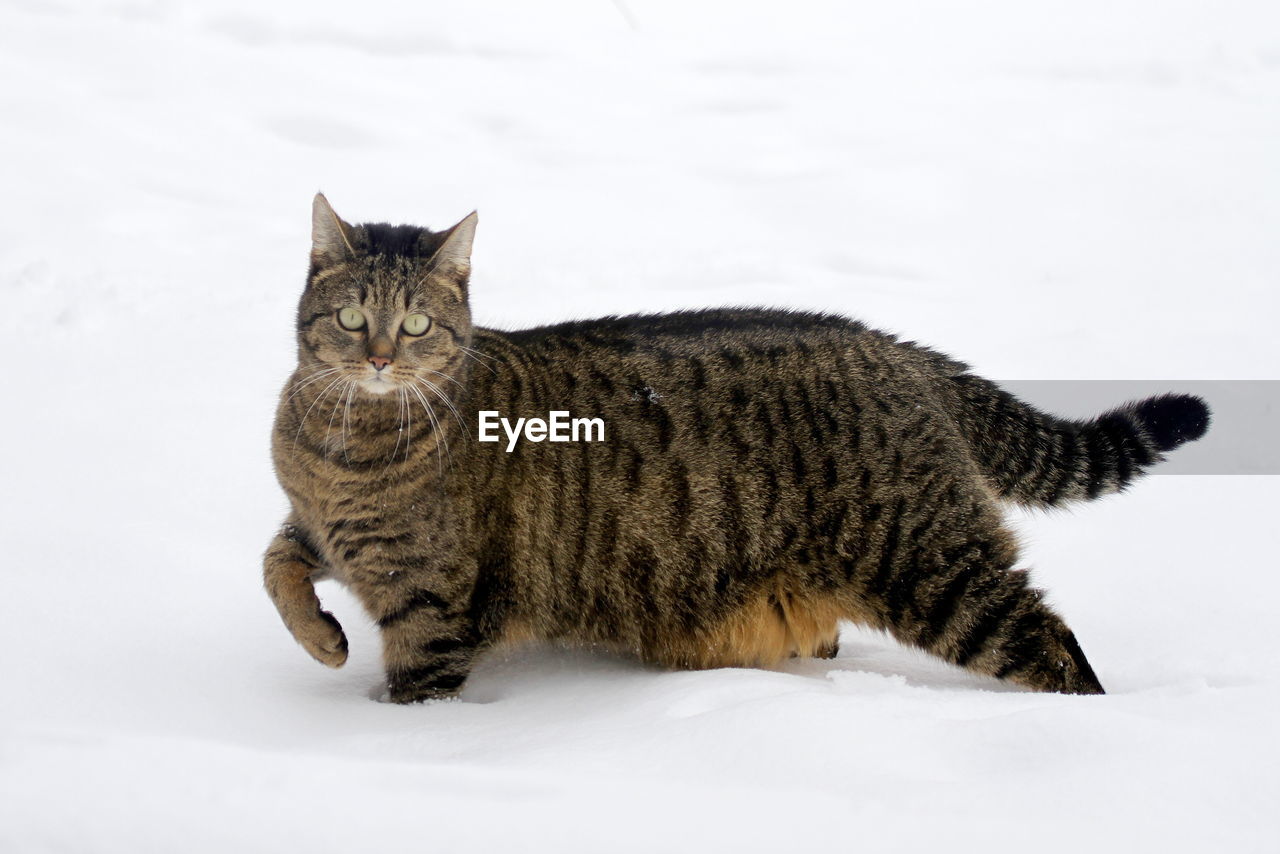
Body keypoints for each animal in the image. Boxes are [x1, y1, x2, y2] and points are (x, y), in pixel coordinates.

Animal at [262, 197, 1208, 706]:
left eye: (418, 324)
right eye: (352, 315)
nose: (380, 357)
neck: (341, 447)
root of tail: (901, 352)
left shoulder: (432, 608)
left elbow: (413, 692)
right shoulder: (312, 525)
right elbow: (277, 567)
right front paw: (324, 641)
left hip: (935, 567)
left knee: (1053, 645)